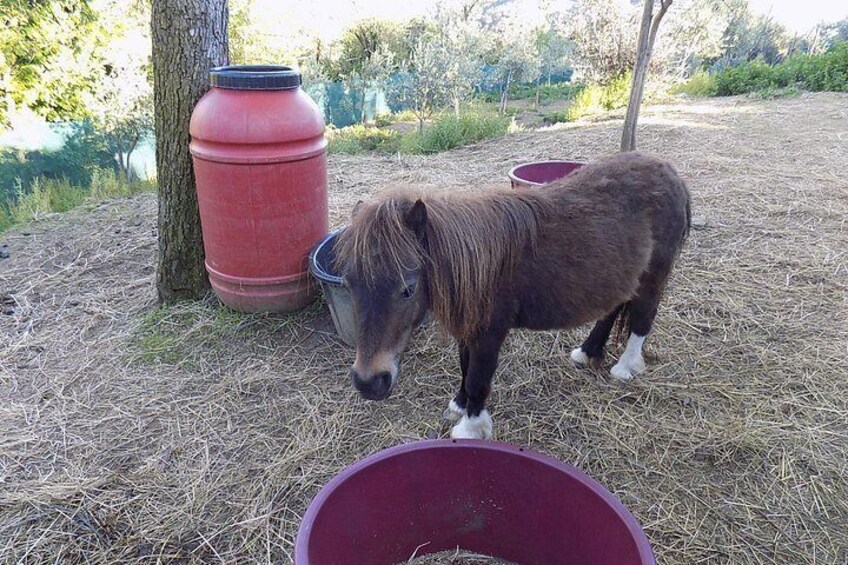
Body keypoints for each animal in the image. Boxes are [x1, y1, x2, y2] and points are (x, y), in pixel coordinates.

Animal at [335, 151, 691, 439]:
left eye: (408, 289)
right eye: (349, 284)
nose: (368, 383)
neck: (481, 263)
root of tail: (671, 172)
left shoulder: (490, 332)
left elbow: (478, 376)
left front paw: (470, 428)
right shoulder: (470, 326)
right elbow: (465, 365)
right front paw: (459, 404)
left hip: (654, 274)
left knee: (644, 316)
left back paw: (626, 368)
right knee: (613, 309)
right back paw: (587, 352)